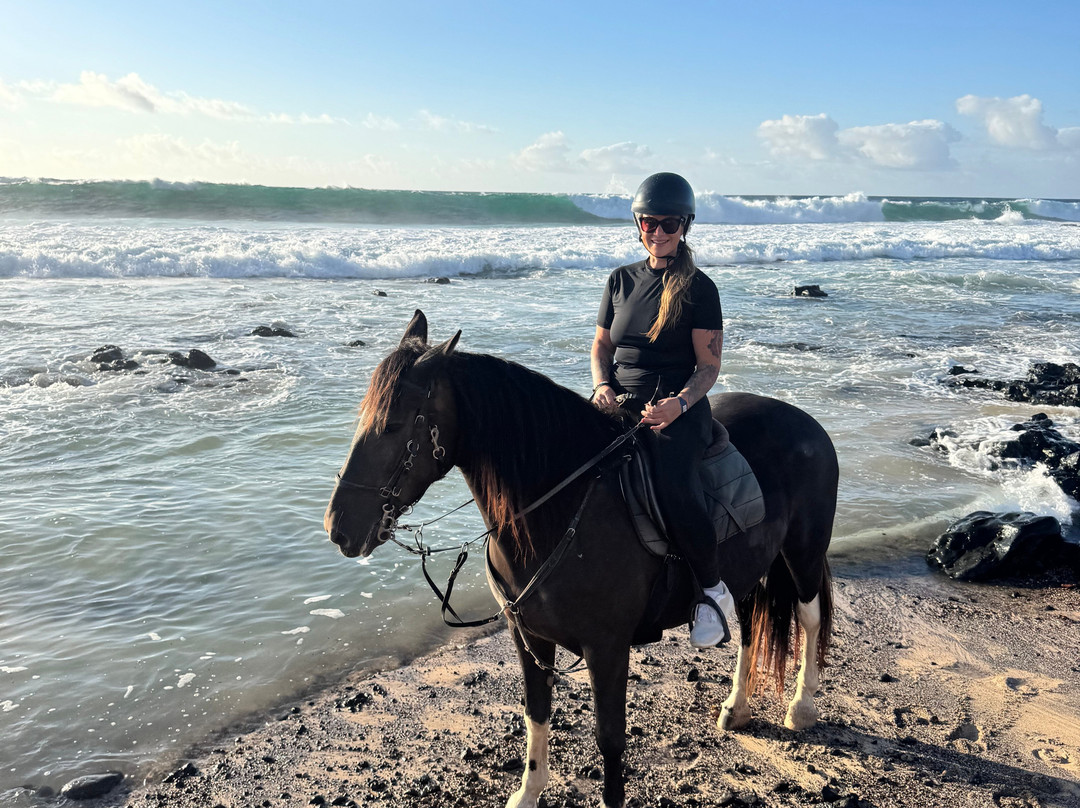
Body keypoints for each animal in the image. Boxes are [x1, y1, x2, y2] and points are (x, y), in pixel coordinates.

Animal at [324, 310, 838, 808]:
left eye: (393, 424)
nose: (337, 527)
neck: (561, 508)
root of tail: (806, 421)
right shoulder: (528, 636)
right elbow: (536, 714)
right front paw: (528, 792)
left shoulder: (606, 647)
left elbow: (609, 739)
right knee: (750, 623)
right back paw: (737, 706)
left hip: (803, 552)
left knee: (810, 617)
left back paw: (801, 706)